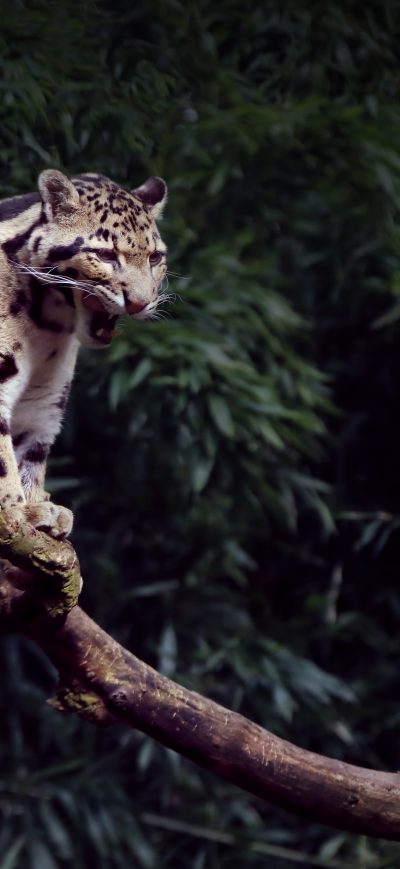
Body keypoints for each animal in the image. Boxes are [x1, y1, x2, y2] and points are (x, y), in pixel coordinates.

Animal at [0, 168, 167, 543]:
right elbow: (3, 459)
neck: (46, 323)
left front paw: (38, 505)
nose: (140, 302)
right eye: (105, 256)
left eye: (155, 258)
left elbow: (30, 454)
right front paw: (19, 511)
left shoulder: (43, 402)